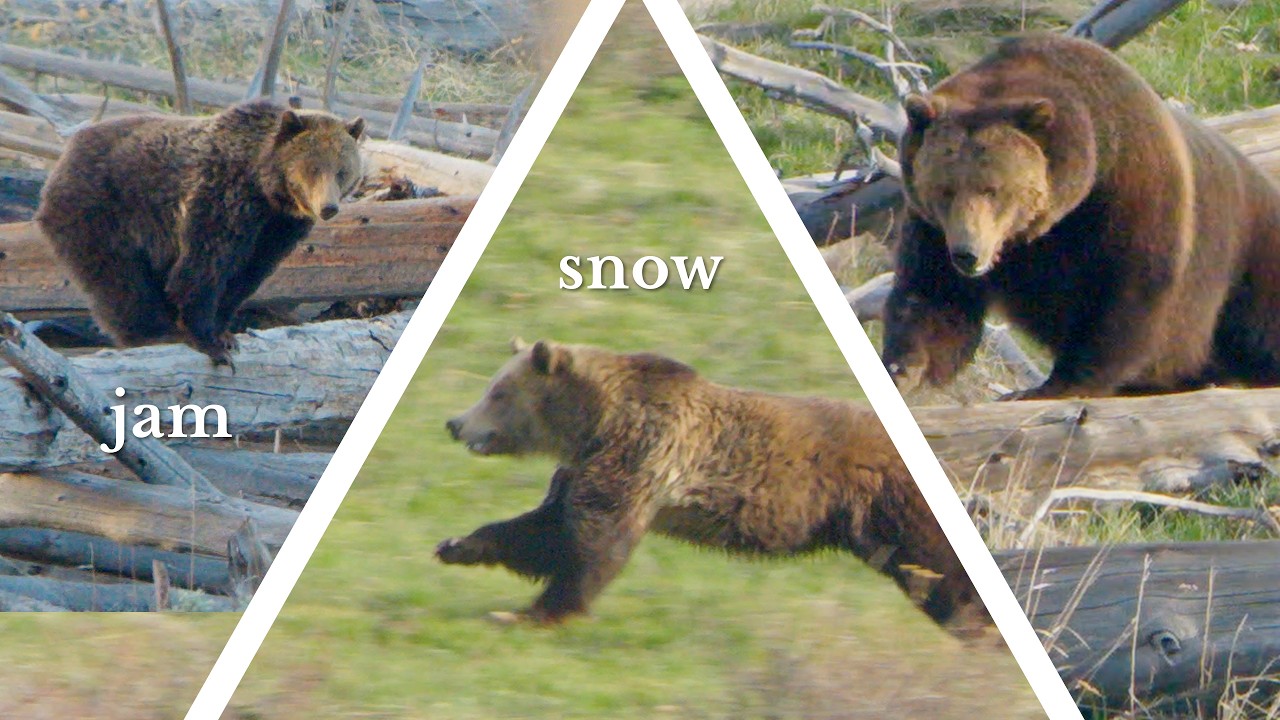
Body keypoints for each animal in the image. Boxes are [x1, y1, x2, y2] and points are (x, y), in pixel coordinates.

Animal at [34, 100, 364, 366]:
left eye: (342, 170)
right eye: (313, 168)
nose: (328, 207)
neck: (265, 189)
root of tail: (66, 154)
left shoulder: (276, 230)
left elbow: (246, 276)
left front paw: (225, 332)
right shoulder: (223, 198)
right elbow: (206, 264)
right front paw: (208, 339)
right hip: (103, 209)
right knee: (120, 279)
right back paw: (155, 332)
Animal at [437, 338, 985, 631]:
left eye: (498, 392)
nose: (455, 423)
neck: (593, 424)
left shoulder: (639, 454)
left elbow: (592, 546)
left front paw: (534, 612)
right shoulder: (584, 469)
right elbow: (542, 530)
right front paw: (457, 545)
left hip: (889, 503)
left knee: (938, 562)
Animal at [881, 34, 1280, 400]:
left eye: (992, 188)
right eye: (944, 189)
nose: (968, 254)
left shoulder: (1129, 192)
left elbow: (1125, 292)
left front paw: (1059, 383)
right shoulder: (932, 227)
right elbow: (933, 294)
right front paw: (905, 368)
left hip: (1250, 254)